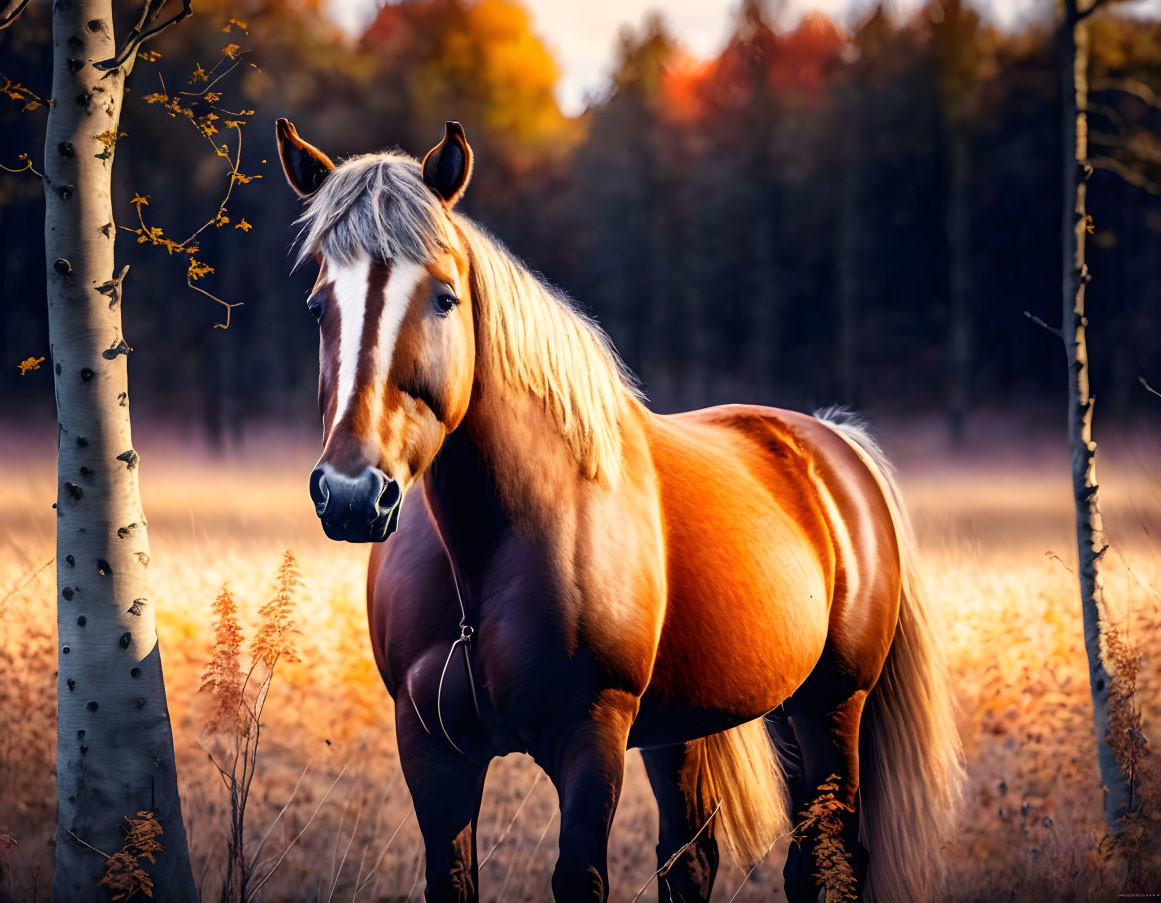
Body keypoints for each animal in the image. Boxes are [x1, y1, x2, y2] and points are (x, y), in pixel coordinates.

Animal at [271, 119, 961, 900]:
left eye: (445, 297)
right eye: (318, 306)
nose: (352, 494)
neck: (491, 552)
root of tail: (832, 444)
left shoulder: (591, 736)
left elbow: (581, 876)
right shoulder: (432, 752)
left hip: (829, 707)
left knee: (826, 859)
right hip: (711, 724)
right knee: (697, 860)